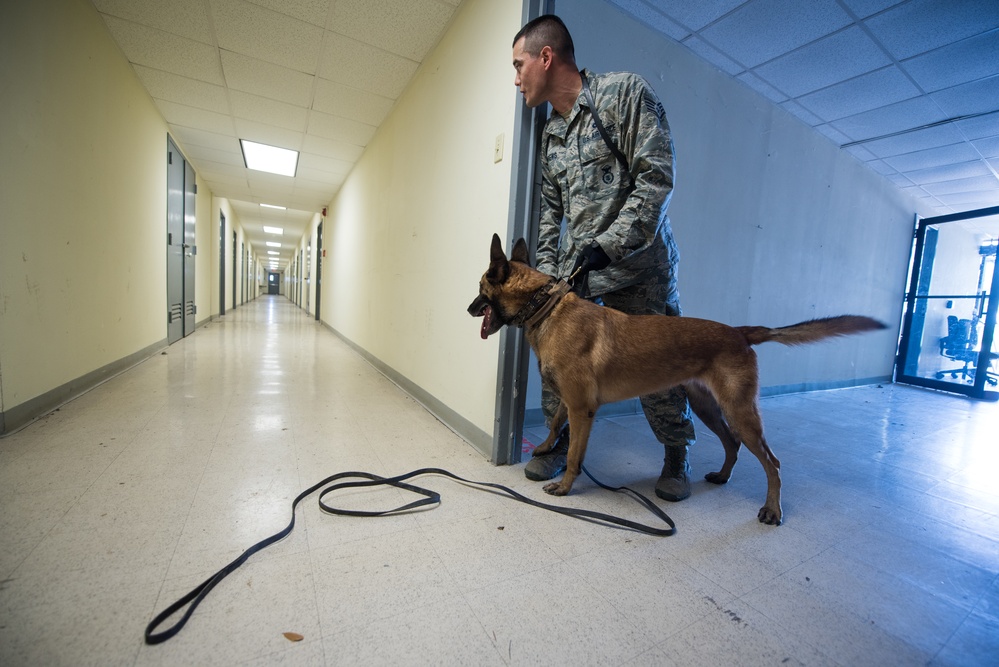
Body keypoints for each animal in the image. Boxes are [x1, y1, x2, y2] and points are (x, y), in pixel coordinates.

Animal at [472, 235, 888, 528]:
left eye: (480, 289)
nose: (468, 308)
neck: (548, 308)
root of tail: (740, 332)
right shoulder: (573, 403)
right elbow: (557, 423)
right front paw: (545, 448)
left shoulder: (582, 408)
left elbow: (575, 452)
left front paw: (565, 486)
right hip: (710, 408)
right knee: (732, 444)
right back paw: (722, 476)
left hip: (739, 411)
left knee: (772, 462)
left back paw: (772, 509)